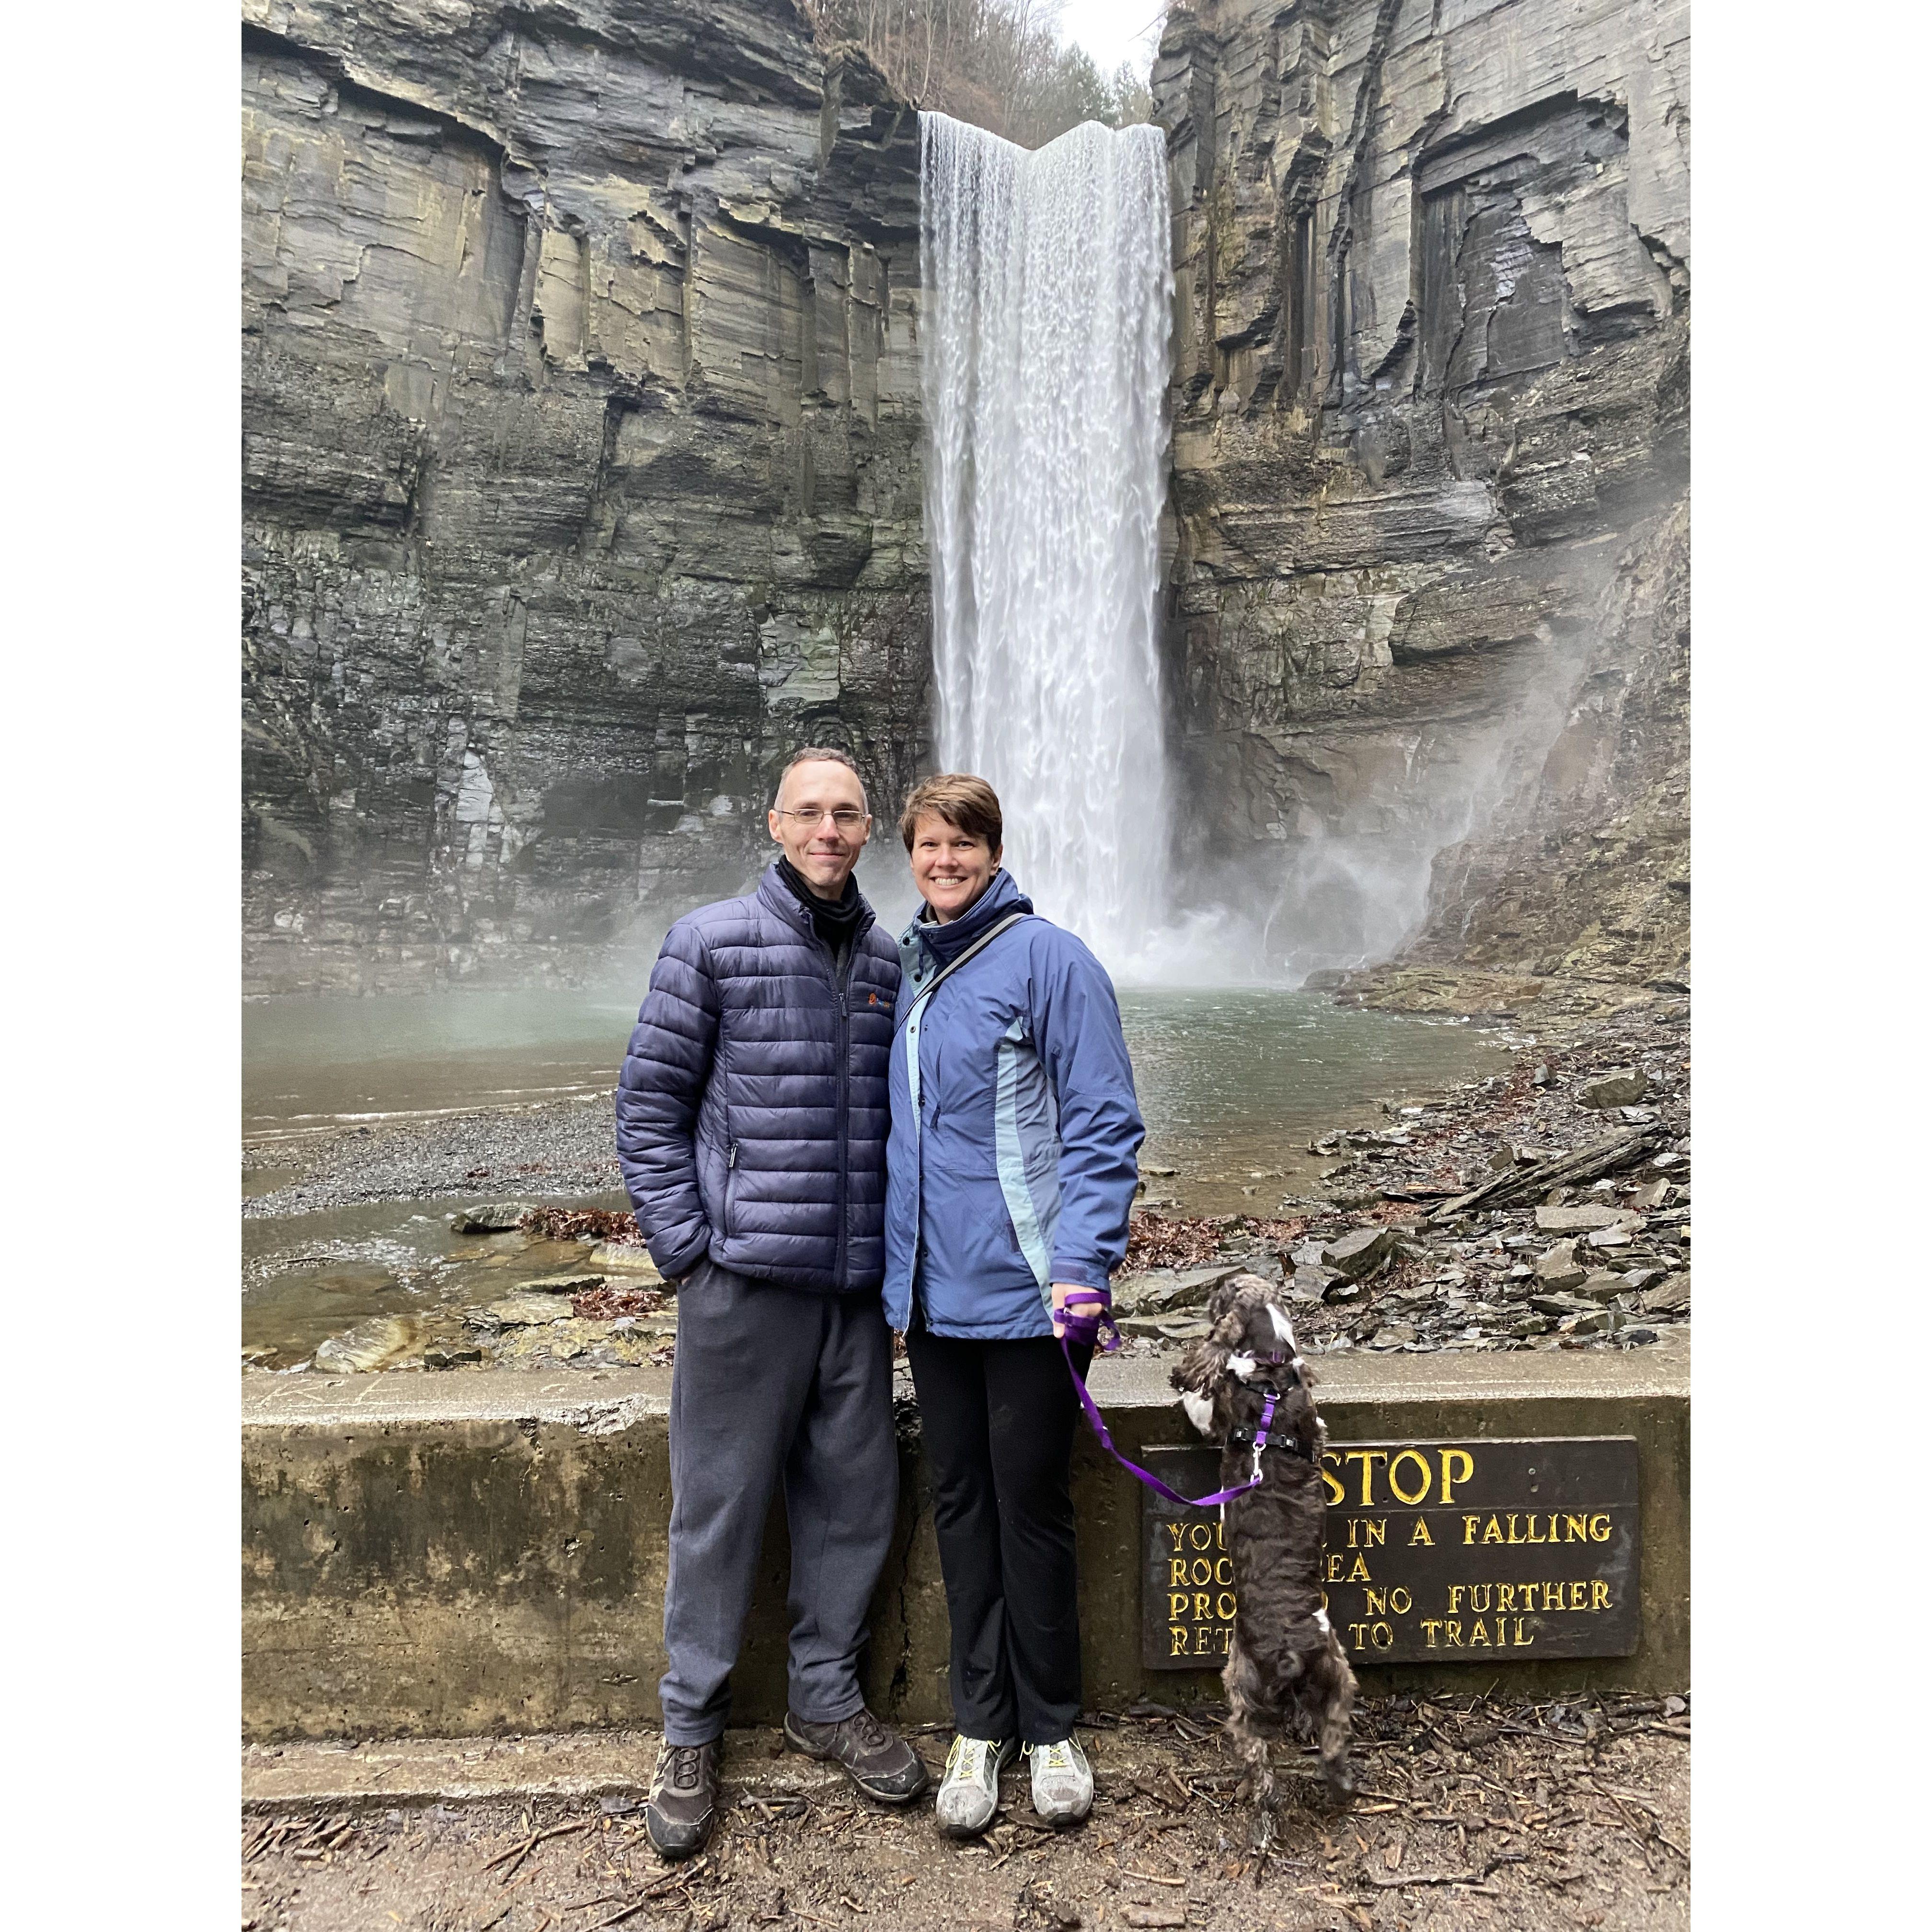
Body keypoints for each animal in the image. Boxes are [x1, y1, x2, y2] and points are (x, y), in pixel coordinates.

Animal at [1159, 1267, 1360, 1824]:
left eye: (1220, 1294)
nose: (1212, 1288)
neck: (1271, 1370)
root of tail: (1290, 1652)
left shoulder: (1213, 1415)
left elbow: (1198, 1398)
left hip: (1239, 1681)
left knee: (1254, 1750)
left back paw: (1260, 1801)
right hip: (1338, 1678)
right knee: (1334, 1746)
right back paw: (1341, 1787)